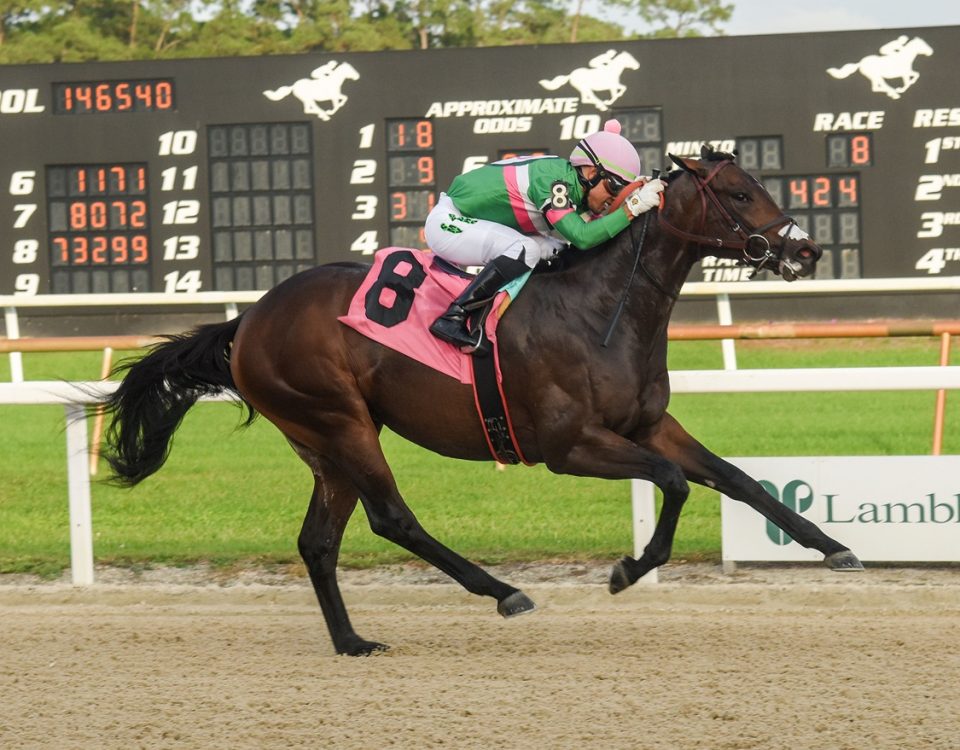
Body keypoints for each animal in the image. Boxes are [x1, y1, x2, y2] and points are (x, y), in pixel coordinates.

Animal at [103, 148, 864, 656]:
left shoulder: (648, 424)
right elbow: (675, 482)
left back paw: (353, 641)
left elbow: (737, 478)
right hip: (341, 422)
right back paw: (503, 592)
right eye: (737, 193)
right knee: (393, 518)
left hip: (324, 442)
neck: (601, 310)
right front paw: (627, 570)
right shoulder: (568, 446)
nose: (807, 250)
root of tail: (249, 320)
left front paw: (833, 548)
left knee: (318, 541)